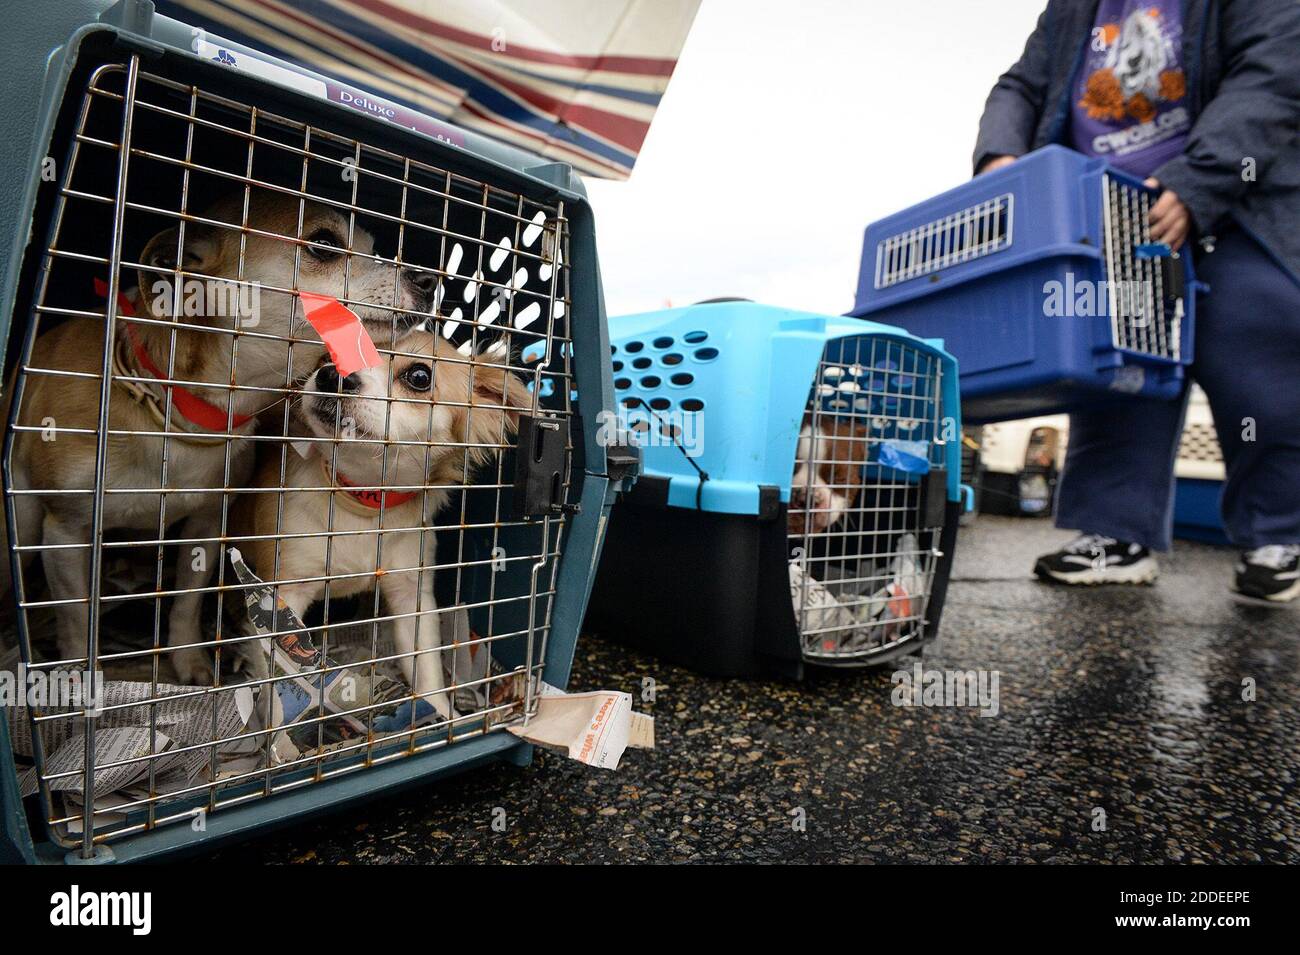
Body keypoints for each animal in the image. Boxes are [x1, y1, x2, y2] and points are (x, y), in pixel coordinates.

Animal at [2, 192, 434, 680]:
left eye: (373, 247)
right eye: (324, 244)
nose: (427, 279)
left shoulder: (206, 527)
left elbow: (185, 604)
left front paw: (188, 662)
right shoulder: (65, 532)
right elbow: (76, 622)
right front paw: (77, 683)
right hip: (20, 528)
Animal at [228, 332, 527, 722]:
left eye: (419, 376)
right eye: (328, 355)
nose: (332, 375)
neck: (363, 500)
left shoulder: (413, 601)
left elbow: (427, 670)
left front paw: (438, 715)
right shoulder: (281, 599)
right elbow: (277, 689)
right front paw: (274, 736)